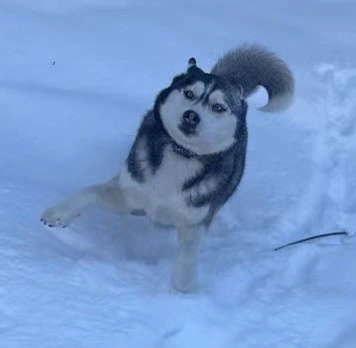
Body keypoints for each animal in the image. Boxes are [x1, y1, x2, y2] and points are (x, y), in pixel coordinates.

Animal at [41, 44, 294, 292]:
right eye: (189, 93)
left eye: (218, 107)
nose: (191, 116)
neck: (181, 154)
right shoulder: (131, 196)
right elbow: (91, 190)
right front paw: (59, 213)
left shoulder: (193, 222)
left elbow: (189, 253)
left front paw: (183, 288)